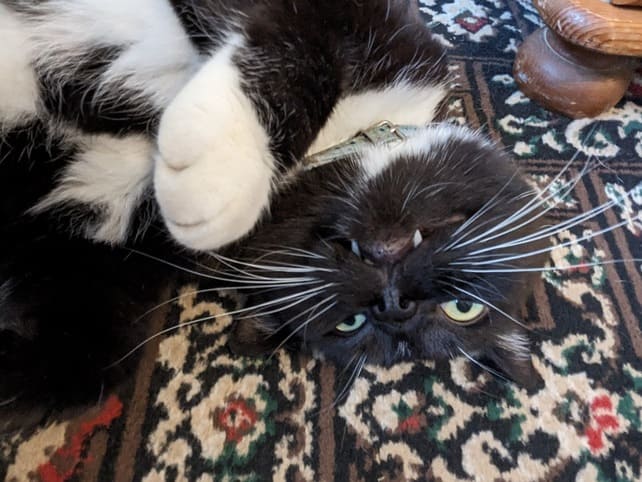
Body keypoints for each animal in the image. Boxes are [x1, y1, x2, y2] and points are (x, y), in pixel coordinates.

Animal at [0, 0, 604, 430]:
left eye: (351, 324)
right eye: (465, 308)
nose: (395, 296)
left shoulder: (108, 246)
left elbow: (87, 347)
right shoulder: (387, 28)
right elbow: (306, 45)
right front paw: (218, 176)